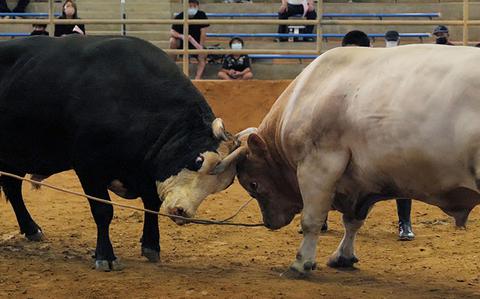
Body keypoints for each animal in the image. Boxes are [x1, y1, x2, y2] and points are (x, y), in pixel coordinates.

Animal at [0, 35, 227, 272]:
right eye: (198, 160)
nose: (183, 212)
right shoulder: (89, 168)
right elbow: (103, 211)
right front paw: (105, 255)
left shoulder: (147, 172)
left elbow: (151, 205)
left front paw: (151, 245)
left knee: (12, 188)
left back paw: (31, 228)